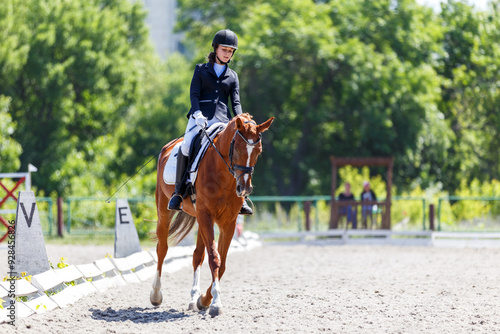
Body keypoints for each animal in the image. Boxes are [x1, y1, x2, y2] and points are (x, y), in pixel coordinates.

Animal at [150, 114, 274, 316]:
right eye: (237, 148)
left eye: (259, 151)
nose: (244, 188)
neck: (224, 175)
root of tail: (168, 146)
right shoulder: (207, 216)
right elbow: (214, 259)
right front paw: (215, 303)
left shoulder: (228, 221)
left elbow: (221, 263)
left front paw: (204, 300)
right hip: (164, 210)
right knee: (162, 248)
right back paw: (155, 295)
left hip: (199, 219)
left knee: (197, 255)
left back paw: (193, 298)